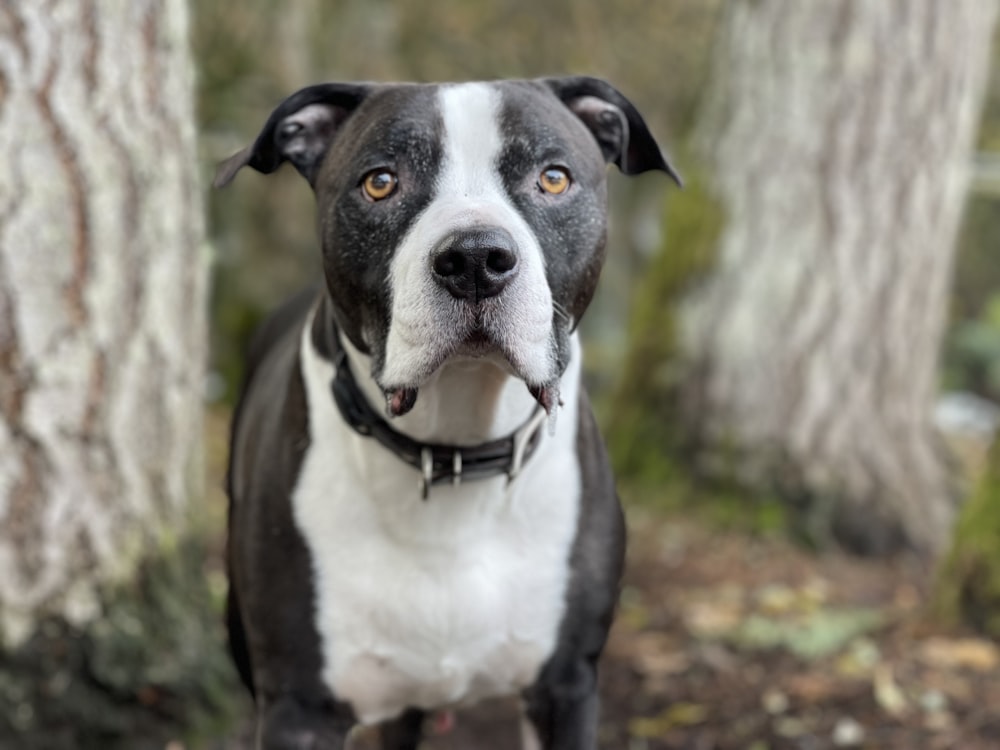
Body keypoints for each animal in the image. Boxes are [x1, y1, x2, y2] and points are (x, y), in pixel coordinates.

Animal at [214, 78, 676, 750]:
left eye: (554, 178)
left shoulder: (565, 687)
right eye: (381, 182)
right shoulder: (299, 707)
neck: (454, 452)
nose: (477, 258)